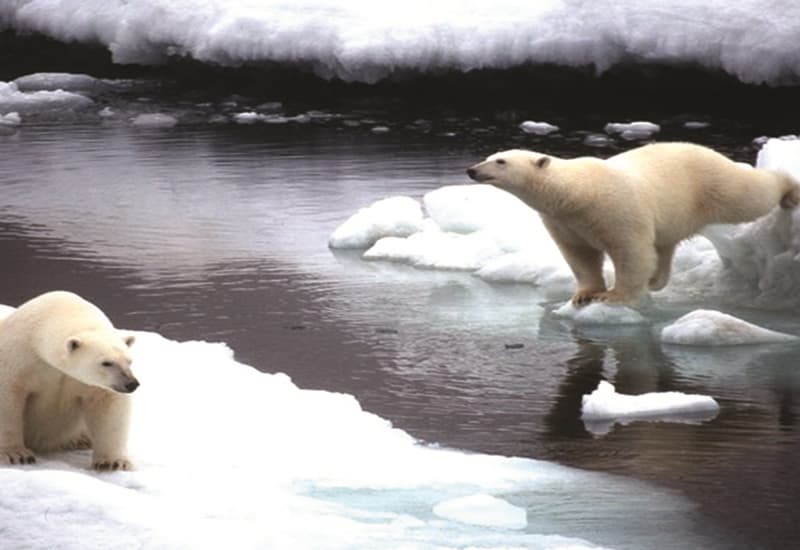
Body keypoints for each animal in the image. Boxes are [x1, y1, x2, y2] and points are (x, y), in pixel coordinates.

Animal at [0, 292, 139, 472]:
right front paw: (16, 455)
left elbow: (108, 405)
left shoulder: (89, 384)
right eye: (106, 363)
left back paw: (82, 439)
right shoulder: (19, 359)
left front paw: (113, 462)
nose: (132, 384)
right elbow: (8, 398)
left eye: (129, 361)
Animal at [468, 142, 800, 306]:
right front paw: (583, 294)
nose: (472, 170)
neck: (578, 193)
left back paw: (789, 190)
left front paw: (614, 296)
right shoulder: (563, 221)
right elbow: (579, 255)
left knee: (748, 195)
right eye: (491, 155)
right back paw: (656, 280)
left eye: (501, 161)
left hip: (710, 183)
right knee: (664, 245)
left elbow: (630, 251)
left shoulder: (616, 209)